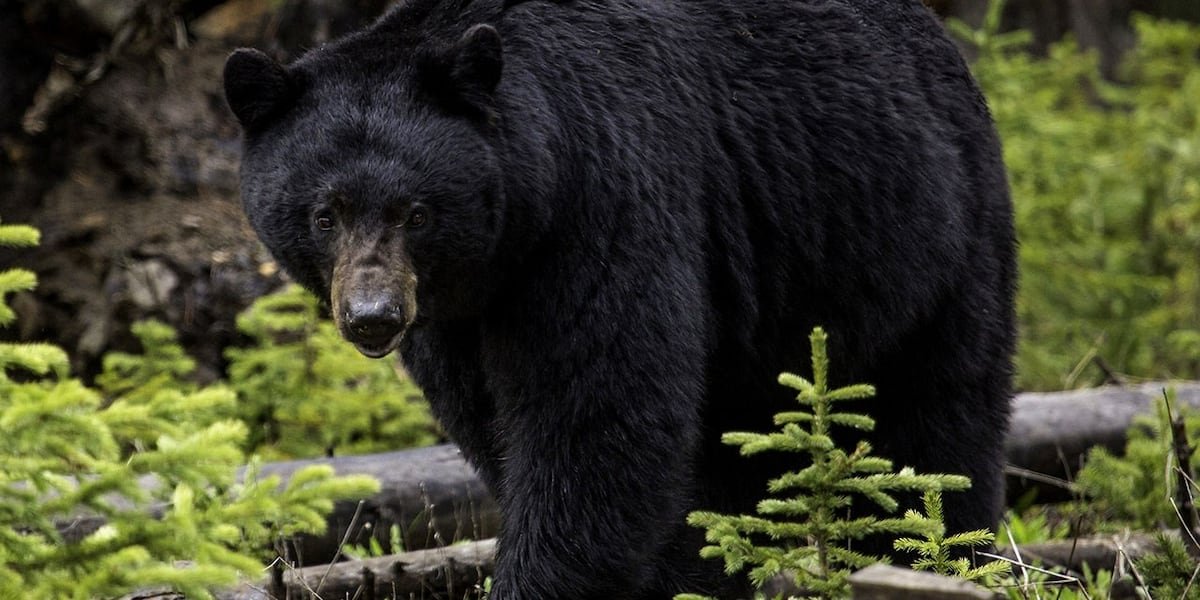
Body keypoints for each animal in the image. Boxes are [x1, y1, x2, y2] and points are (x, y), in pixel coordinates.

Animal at [223, 0, 1016, 597]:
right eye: (325, 214)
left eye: (416, 212)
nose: (373, 317)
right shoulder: (457, 315)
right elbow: (497, 423)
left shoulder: (603, 202)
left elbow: (596, 419)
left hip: (924, 236)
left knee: (936, 421)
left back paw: (939, 553)